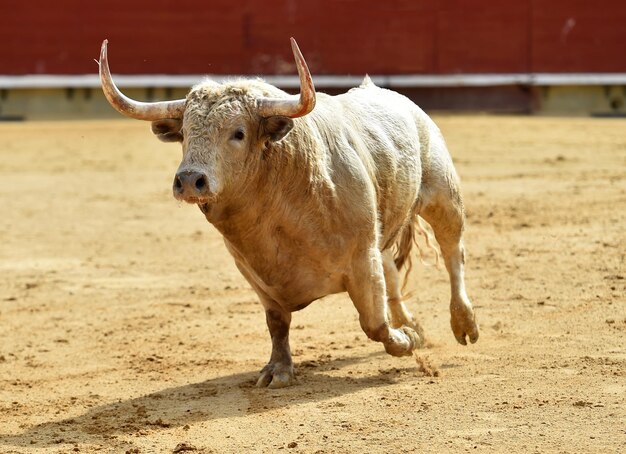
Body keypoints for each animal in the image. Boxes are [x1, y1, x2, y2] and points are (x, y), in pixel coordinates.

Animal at [98, 38, 478, 386]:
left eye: (238, 133)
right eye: (185, 134)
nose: (190, 180)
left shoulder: (361, 257)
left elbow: (374, 322)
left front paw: (406, 341)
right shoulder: (254, 272)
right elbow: (277, 323)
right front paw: (277, 370)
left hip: (443, 194)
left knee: (452, 253)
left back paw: (463, 323)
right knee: (394, 273)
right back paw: (414, 324)